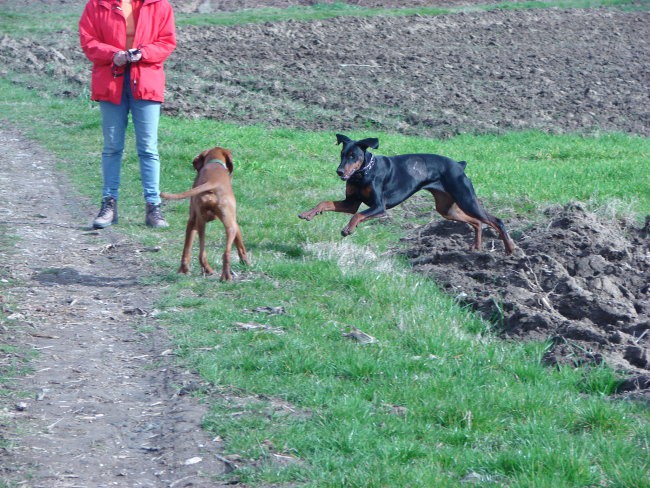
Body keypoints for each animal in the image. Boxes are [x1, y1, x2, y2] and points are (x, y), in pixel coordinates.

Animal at [159, 147, 248, 280]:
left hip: (205, 224)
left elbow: (187, 248)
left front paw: (183, 270)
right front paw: (246, 262)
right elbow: (240, 245)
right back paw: (220, 274)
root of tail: (213, 182)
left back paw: (215, 272)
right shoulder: (235, 222)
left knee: (208, 253)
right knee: (217, 253)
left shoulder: (192, 221)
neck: (214, 163)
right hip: (220, 224)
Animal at [298, 133, 516, 255]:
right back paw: (476, 248)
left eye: (354, 156)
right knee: (477, 222)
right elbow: (326, 203)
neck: (364, 173)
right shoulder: (350, 202)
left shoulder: (379, 207)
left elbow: (358, 215)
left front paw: (348, 229)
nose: (340, 172)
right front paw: (308, 214)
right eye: (342, 155)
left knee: (496, 220)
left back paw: (510, 249)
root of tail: (459, 165)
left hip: (466, 197)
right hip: (446, 208)